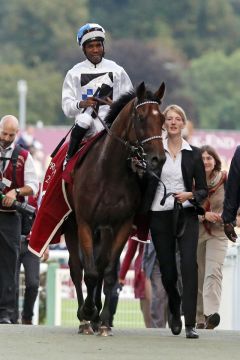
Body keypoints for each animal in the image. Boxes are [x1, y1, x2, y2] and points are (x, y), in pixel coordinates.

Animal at [63, 81, 167, 334]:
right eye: (141, 117)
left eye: (162, 119)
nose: (158, 159)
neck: (109, 172)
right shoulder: (85, 223)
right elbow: (89, 272)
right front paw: (88, 312)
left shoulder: (121, 225)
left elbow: (108, 273)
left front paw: (102, 320)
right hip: (71, 225)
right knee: (76, 267)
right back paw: (83, 319)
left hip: (104, 231)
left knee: (100, 267)